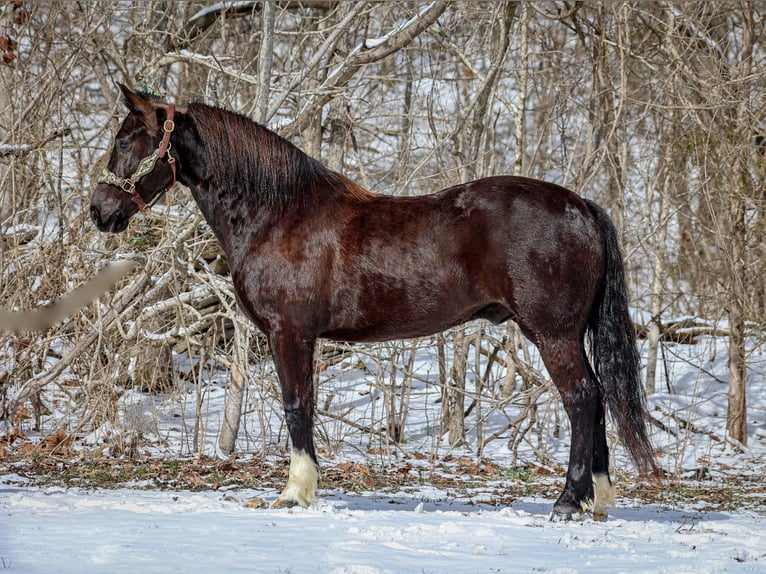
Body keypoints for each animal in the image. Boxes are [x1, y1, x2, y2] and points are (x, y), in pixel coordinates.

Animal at [90, 84, 659, 520]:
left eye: (125, 139)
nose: (99, 211)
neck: (278, 213)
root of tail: (580, 205)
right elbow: (304, 406)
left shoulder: (289, 333)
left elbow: (296, 407)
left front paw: (295, 493)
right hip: (570, 333)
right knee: (597, 397)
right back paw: (596, 499)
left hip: (552, 333)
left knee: (581, 398)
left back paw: (567, 501)